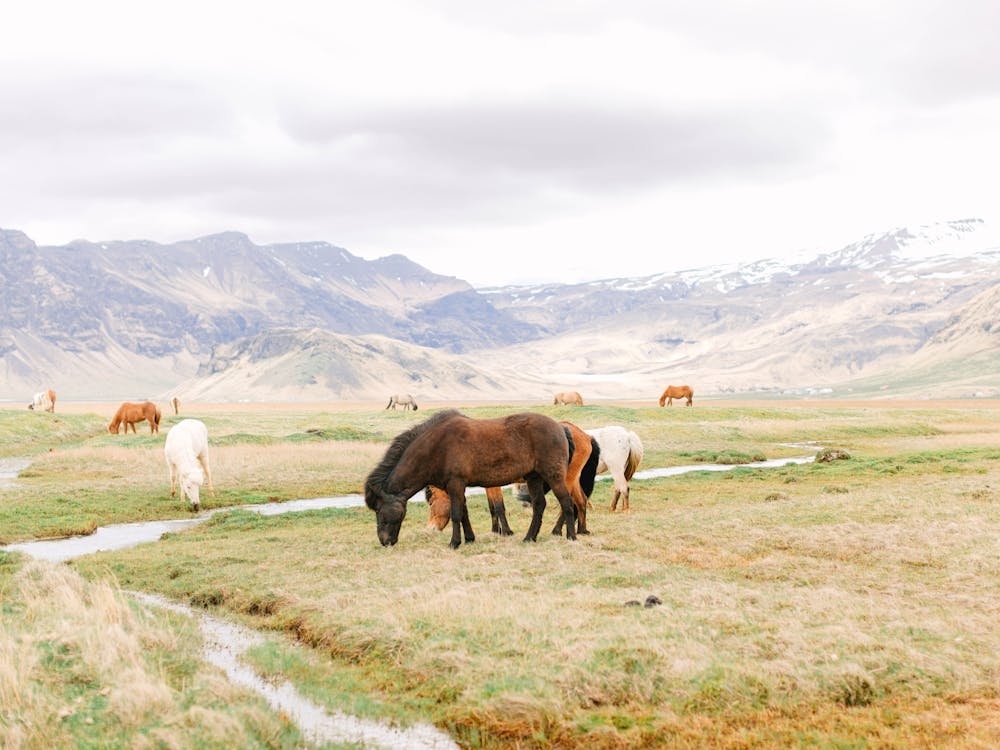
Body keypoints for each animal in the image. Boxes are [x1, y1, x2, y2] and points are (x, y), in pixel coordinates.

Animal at [364, 409, 578, 549]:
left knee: (566, 503)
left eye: (379, 511)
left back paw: (571, 537)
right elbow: (464, 512)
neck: (437, 447)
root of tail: (560, 427)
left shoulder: (455, 484)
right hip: (533, 477)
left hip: (553, 476)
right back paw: (529, 538)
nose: (384, 541)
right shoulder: (456, 487)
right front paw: (469, 538)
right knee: (539, 505)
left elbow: (456, 513)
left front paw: (454, 542)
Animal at [426, 421, 602, 537]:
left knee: (568, 503)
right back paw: (582, 530)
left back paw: (557, 531)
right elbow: (492, 507)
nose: (430, 529)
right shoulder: (489, 486)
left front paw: (506, 531)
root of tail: (585, 436)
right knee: (581, 501)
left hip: (564, 479)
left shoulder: (494, 485)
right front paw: (495, 530)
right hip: (573, 479)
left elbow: (498, 507)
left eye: (431, 502)